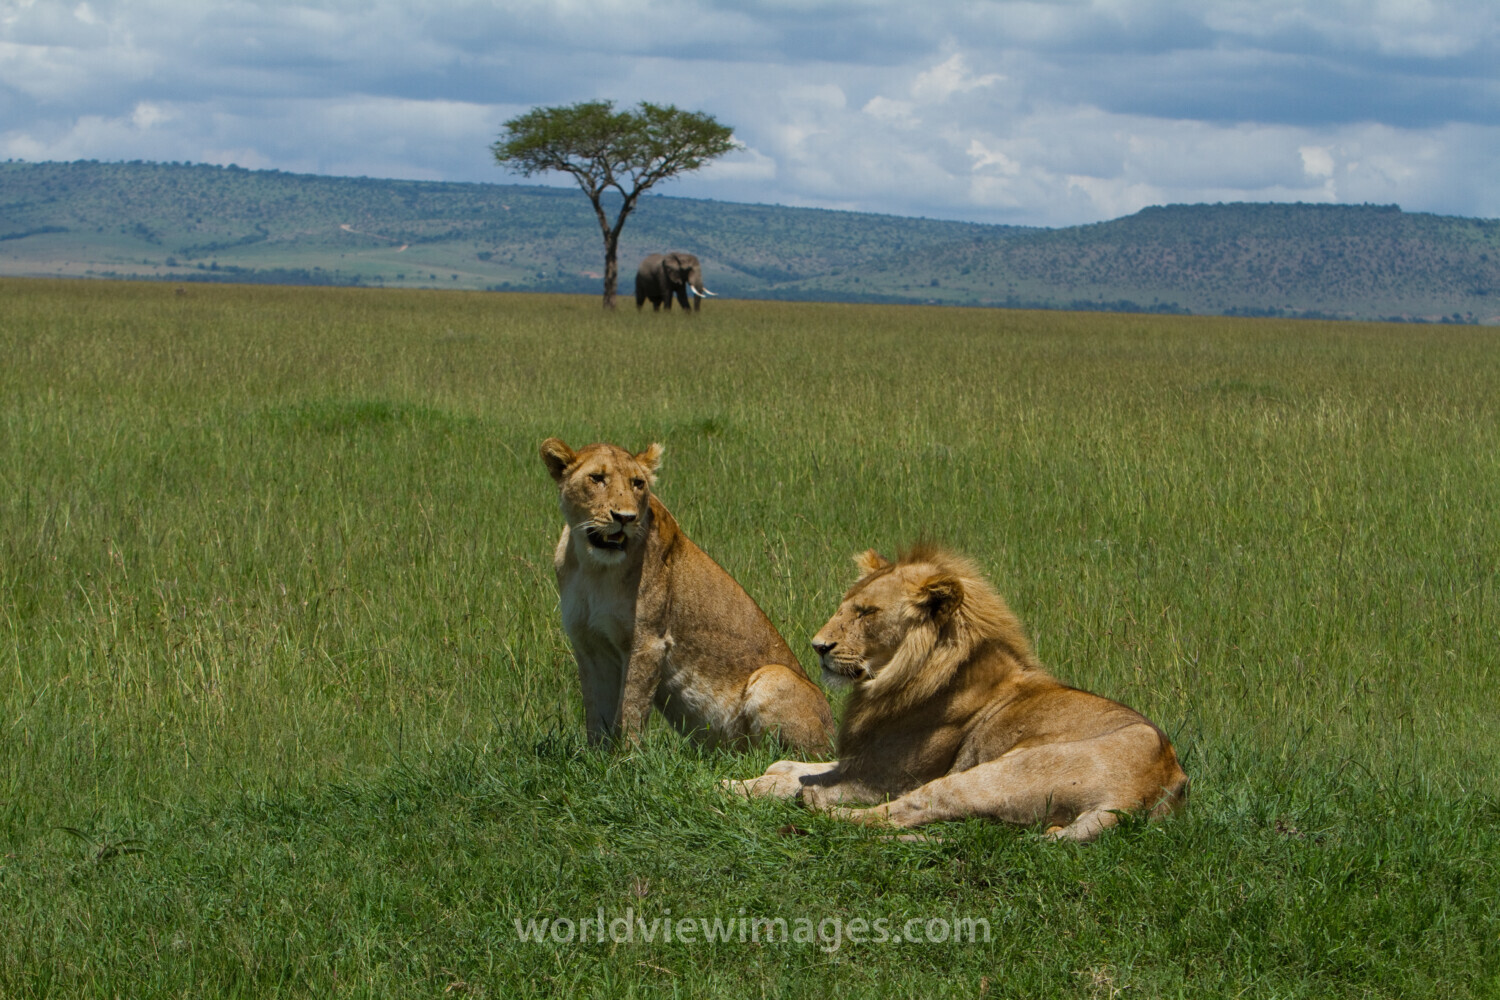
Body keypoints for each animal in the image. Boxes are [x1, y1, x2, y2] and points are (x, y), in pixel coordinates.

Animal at [540, 438, 834, 754]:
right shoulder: (589, 644)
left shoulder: (648, 642)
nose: (625, 518)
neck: (594, 567)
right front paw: (596, 757)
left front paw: (627, 759)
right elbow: (596, 712)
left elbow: (631, 708)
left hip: (773, 676)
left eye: (637, 483)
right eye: (596, 478)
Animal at [726, 546, 1188, 841]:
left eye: (867, 612)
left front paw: (737, 787)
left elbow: (805, 781)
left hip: (993, 774)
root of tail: (1159, 784)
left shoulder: (881, 780)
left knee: (898, 814)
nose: (818, 646)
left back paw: (817, 805)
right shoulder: (863, 760)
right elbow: (793, 766)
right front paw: (762, 775)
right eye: (847, 605)